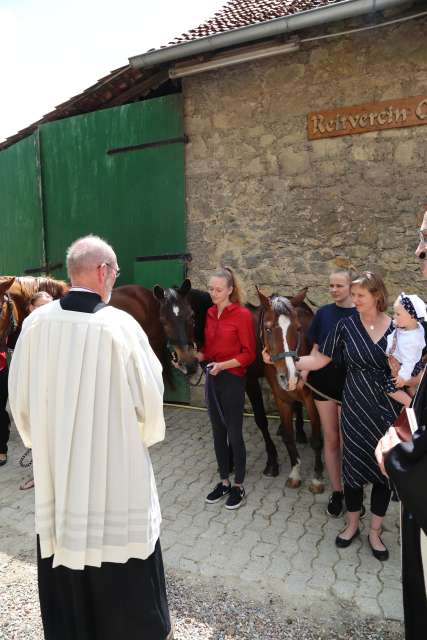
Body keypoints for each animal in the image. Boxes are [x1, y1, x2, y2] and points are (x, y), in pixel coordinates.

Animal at [258, 288, 324, 492]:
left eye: (298, 328)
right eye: (267, 329)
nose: (290, 376)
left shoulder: (312, 401)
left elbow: (317, 440)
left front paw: (317, 478)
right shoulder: (282, 400)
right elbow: (288, 437)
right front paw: (295, 473)